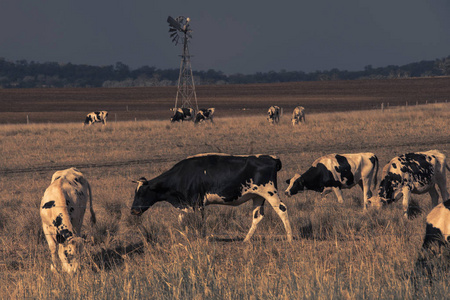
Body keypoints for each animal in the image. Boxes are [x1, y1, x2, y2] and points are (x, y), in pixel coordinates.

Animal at [131, 154, 292, 243]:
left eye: (141, 193)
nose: (133, 211)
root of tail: (272, 159)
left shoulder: (195, 202)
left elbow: (196, 222)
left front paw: (199, 237)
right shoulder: (188, 204)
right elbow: (183, 220)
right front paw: (187, 236)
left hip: (270, 193)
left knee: (282, 210)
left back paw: (290, 238)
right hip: (258, 196)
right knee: (257, 216)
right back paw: (245, 240)